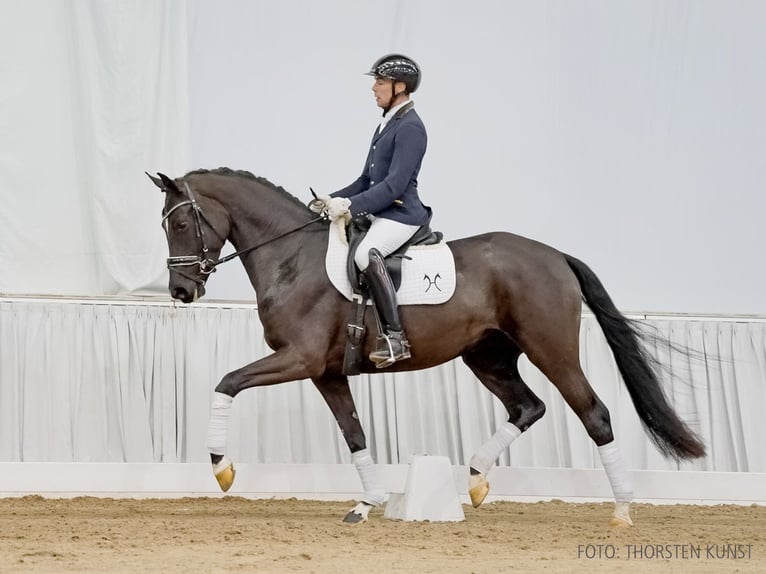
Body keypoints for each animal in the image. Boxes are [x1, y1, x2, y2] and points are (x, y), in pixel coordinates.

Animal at [148, 166, 708, 528]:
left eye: (180, 223)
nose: (180, 292)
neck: (293, 258)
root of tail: (555, 255)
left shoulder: (298, 358)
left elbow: (227, 383)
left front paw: (221, 468)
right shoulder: (326, 371)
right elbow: (354, 433)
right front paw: (369, 502)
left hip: (552, 350)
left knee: (594, 414)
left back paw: (622, 510)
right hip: (488, 356)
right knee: (528, 407)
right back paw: (476, 479)